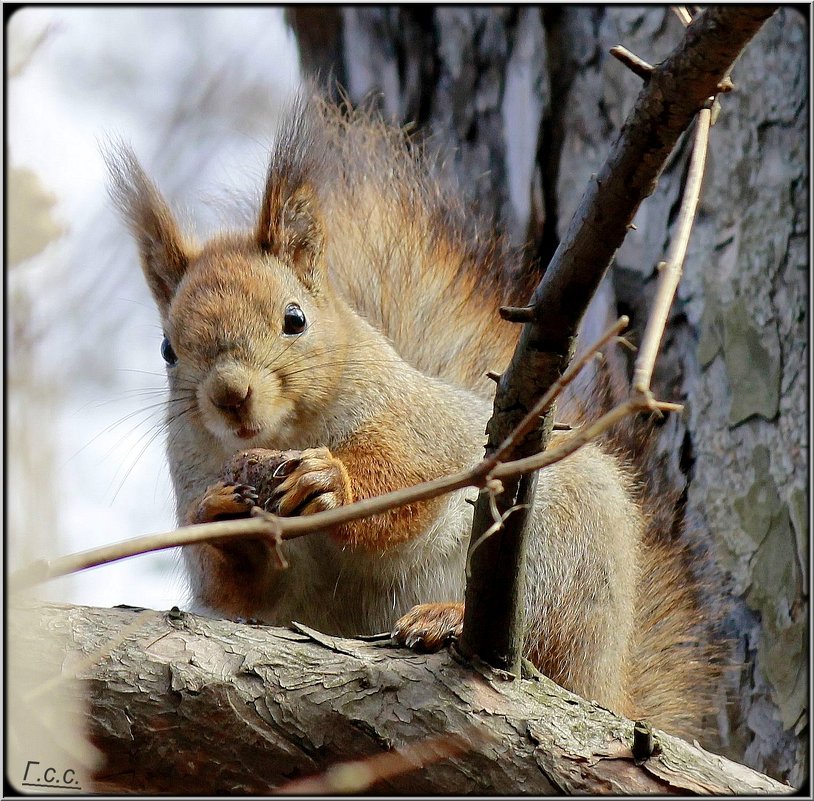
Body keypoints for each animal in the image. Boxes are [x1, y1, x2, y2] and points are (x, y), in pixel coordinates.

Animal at [107, 97, 720, 740]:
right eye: (167, 349)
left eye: (294, 318)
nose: (230, 395)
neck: (288, 433)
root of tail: (609, 679)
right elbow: (239, 589)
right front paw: (226, 516)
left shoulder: (414, 424)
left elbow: (409, 485)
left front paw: (330, 481)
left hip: (562, 552)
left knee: (543, 640)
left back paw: (447, 618)